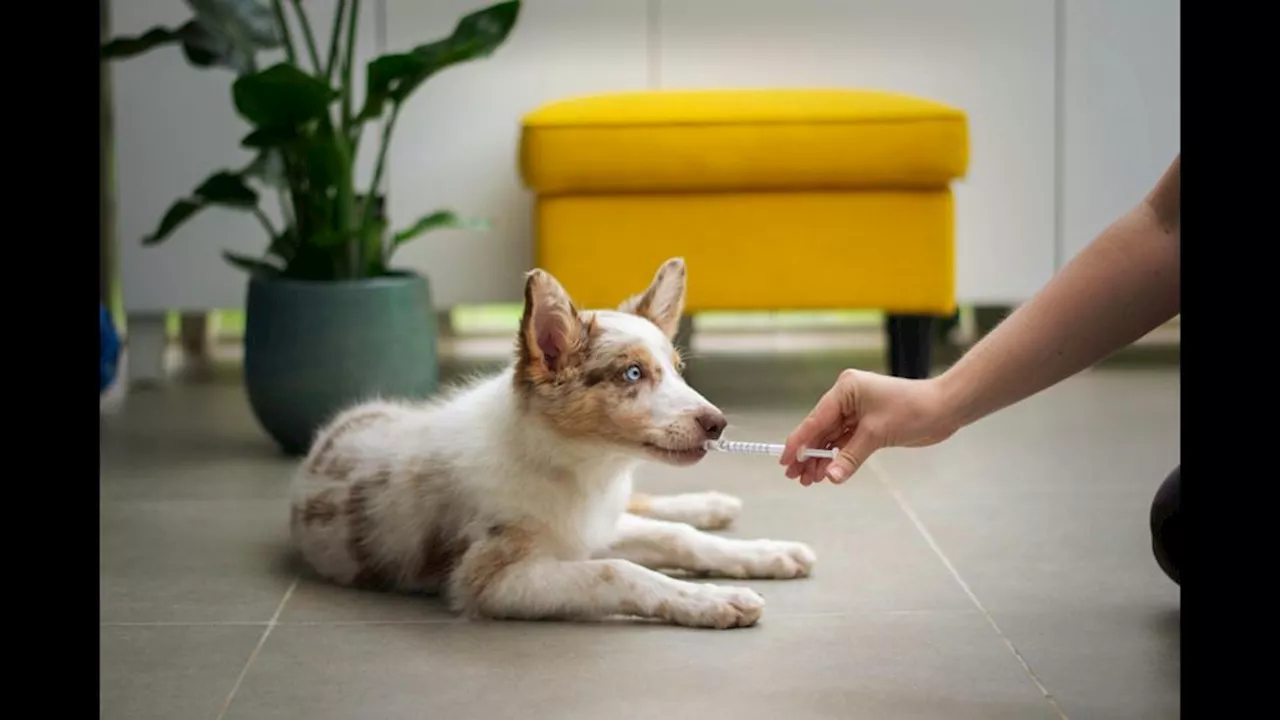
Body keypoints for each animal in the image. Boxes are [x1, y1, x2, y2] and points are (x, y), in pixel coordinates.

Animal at [286, 258, 814, 627]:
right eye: (633, 373)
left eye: (678, 371)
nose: (717, 424)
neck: (580, 468)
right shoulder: (493, 579)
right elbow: (619, 570)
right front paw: (715, 599)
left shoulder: (593, 526)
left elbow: (676, 538)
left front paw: (764, 554)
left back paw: (713, 505)